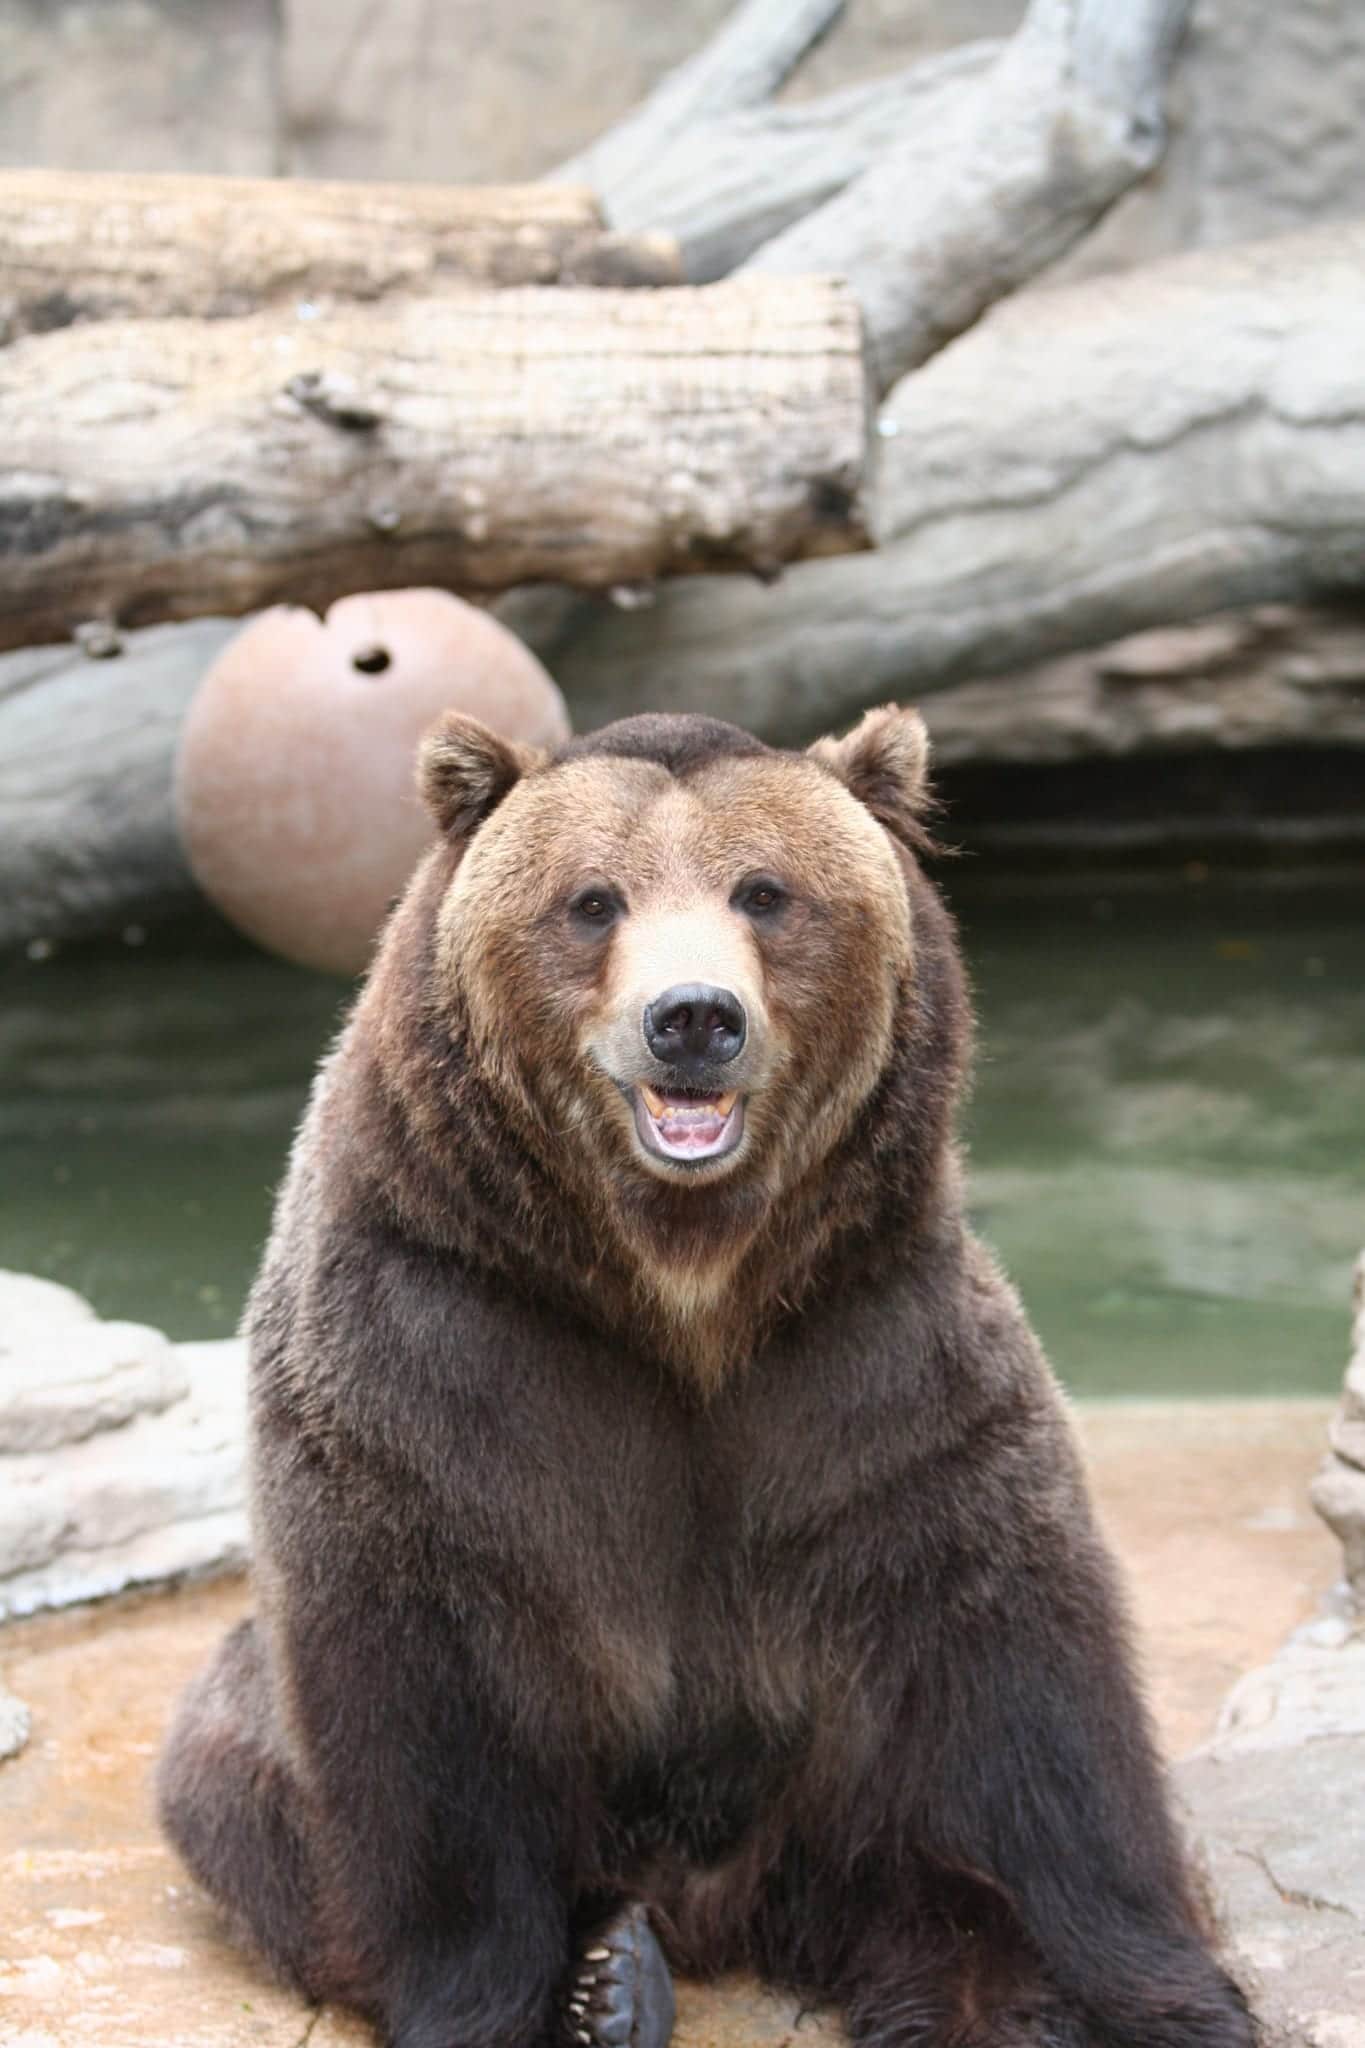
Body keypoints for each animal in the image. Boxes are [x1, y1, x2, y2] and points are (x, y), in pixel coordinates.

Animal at [154, 708, 1252, 2048]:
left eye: (764, 891)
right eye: (592, 901)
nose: (692, 1016)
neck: (683, 1291)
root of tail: (721, 1905)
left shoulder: (868, 1365)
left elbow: (1017, 1674)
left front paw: (1161, 1995)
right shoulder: (440, 1342)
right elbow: (427, 1679)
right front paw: (497, 1997)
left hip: (824, 1815)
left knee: (914, 1884)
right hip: (255, 1727)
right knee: (238, 1793)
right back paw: (615, 1967)